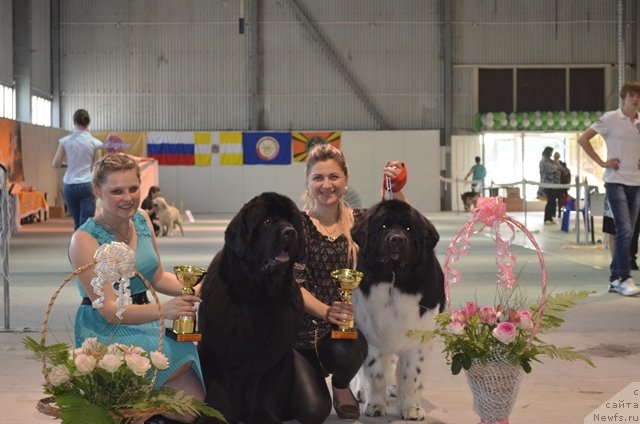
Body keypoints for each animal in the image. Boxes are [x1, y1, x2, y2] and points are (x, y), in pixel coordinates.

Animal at [196, 193, 304, 424]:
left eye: (291, 220)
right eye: (267, 221)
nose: (290, 232)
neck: (256, 297)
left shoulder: (272, 356)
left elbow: (265, 392)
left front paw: (264, 417)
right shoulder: (217, 351)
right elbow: (218, 392)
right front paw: (215, 417)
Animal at [350, 200, 444, 420]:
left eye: (409, 229)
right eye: (383, 226)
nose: (396, 239)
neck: (394, 279)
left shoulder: (419, 338)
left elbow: (411, 376)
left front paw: (411, 408)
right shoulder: (371, 336)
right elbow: (375, 373)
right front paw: (375, 404)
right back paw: (362, 391)